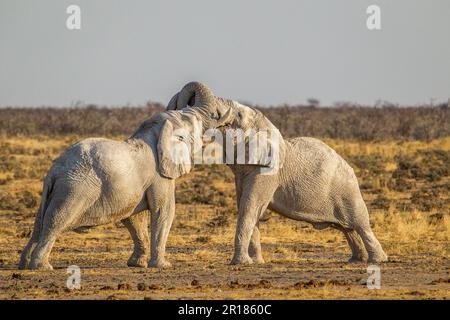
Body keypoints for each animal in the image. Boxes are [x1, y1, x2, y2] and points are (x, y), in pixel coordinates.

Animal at [17, 83, 232, 270]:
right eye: (196, 123)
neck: (156, 132)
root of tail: (54, 172)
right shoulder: (160, 177)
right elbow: (164, 211)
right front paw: (163, 266)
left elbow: (133, 217)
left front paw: (137, 264)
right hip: (73, 190)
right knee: (55, 222)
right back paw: (42, 266)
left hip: (54, 192)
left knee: (39, 223)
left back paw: (24, 264)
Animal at [167, 81, 388, 264]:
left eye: (237, 116)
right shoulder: (243, 172)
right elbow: (247, 207)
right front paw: (255, 263)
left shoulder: (268, 171)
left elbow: (250, 207)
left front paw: (240, 263)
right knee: (347, 228)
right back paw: (356, 260)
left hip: (348, 191)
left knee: (361, 224)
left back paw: (378, 260)